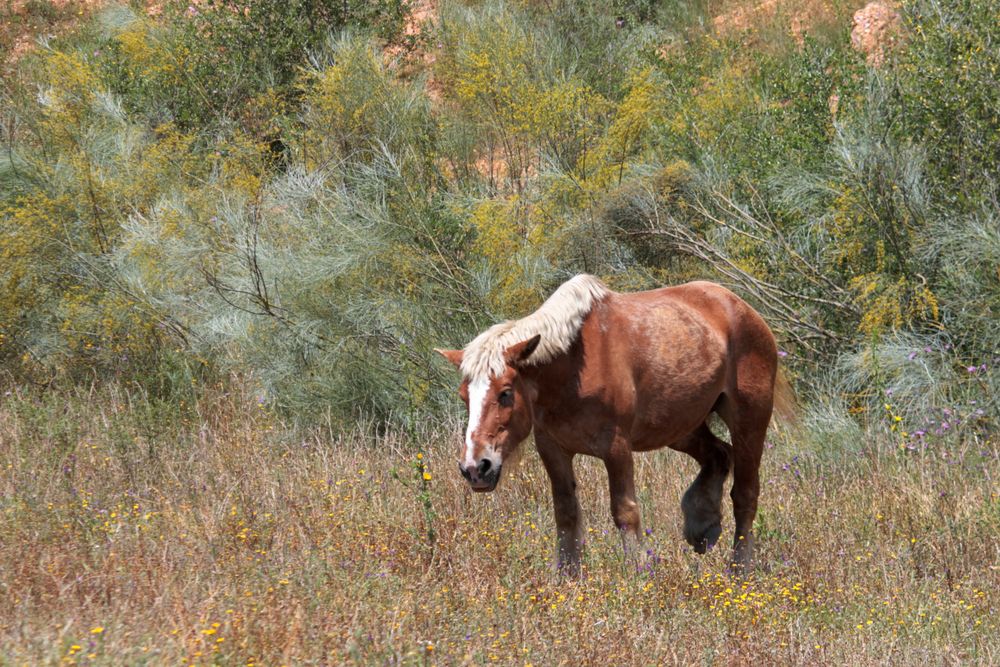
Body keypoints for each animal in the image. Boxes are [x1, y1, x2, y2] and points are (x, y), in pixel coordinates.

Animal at [436, 275, 793, 574]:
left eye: (506, 393)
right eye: (464, 396)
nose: (475, 468)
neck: (573, 370)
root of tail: (744, 310)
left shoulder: (616, 447)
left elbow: (625, 512)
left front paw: (638, 574)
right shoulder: (553, 448)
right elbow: (566, 513)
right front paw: (568, 580)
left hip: (749, 420)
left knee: (745, 494)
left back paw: (738, 570)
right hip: (680, 427)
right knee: (718, 455)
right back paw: (702, 525)